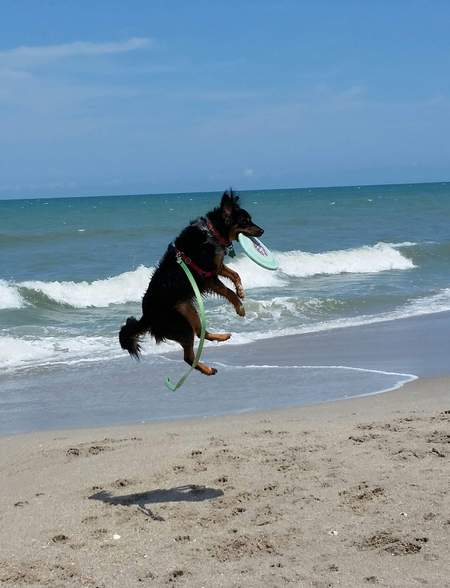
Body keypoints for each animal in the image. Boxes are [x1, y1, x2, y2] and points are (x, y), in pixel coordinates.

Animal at [119, 191, 264, 378]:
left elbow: (235, 275)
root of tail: (147, 317)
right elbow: (228, 291)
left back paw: (221, 337)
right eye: (245, 221)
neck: (212, 232)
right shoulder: (208, 276)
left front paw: (241, 291)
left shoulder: (216, 266)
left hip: (190, 311)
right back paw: (208, 369)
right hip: (181, 326)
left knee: (201, 333)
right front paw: (240, 307)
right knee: (188, 357)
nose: (262, 231)